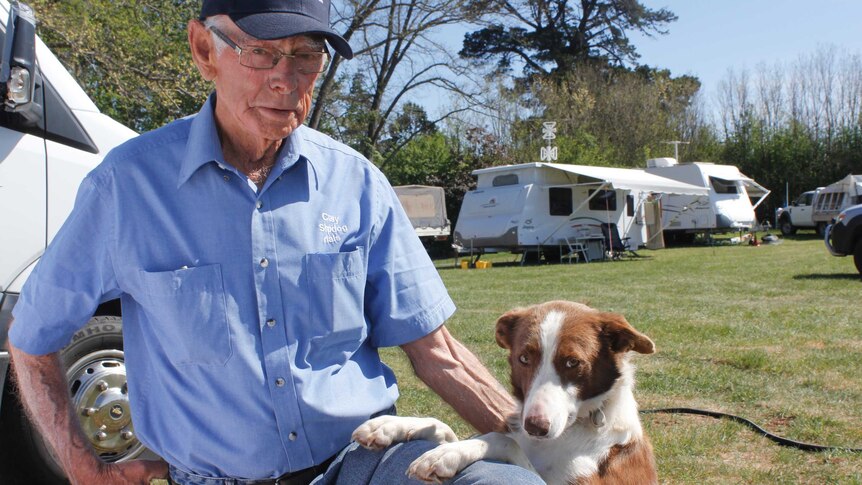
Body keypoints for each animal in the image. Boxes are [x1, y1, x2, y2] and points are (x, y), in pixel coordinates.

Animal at [354, 300, 660, 482]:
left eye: (573, 363)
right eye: (524, 358)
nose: (535, 427)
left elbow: (502, 440)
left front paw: (444, 456)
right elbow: (444, 427)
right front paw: (389, 425)